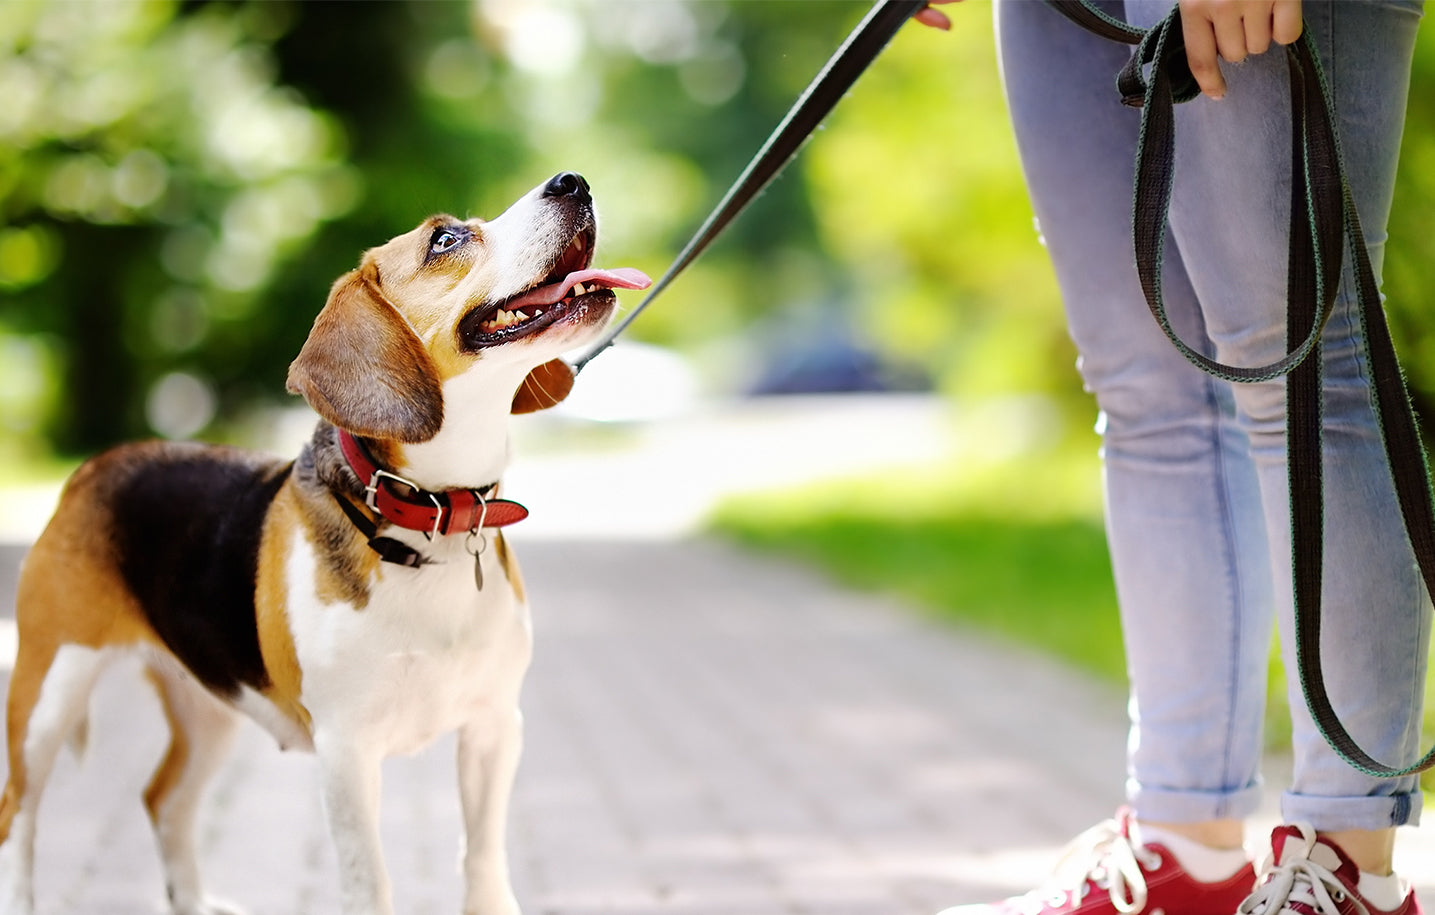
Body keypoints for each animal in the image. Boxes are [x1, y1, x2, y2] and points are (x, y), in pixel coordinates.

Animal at [0, 173, 651, 915]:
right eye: (446, 239)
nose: (572, 181)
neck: (429, 517)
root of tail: (96, 466)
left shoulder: (493, 727)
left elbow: (483, 863)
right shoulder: (347, 751)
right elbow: (370, 882)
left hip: (210, 701)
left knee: (164, 800)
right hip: (48, 691)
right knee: (18, 814)